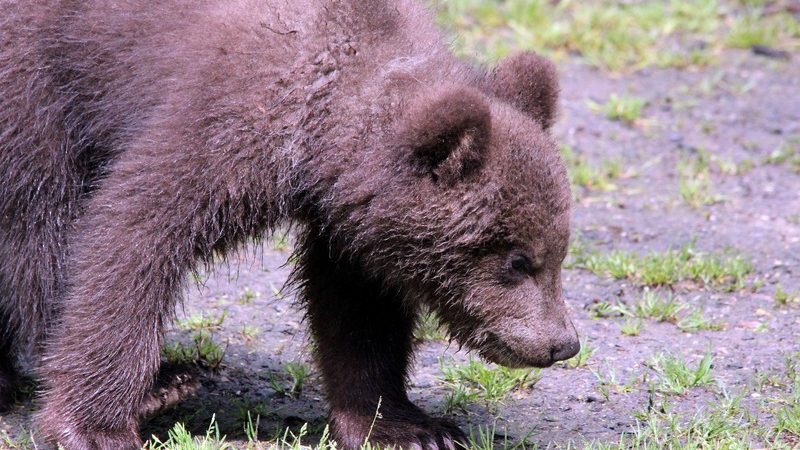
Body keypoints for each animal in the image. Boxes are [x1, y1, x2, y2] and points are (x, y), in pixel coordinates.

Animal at [0, 0, 580, 448]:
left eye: (559, 252)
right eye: (517, 260)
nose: (563, 344)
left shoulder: (349, 219)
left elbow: (357, 312)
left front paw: (408, 427)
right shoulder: (221, 121)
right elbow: (128, 236)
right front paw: (96, 425)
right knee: (37, 224)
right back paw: (160, 379)